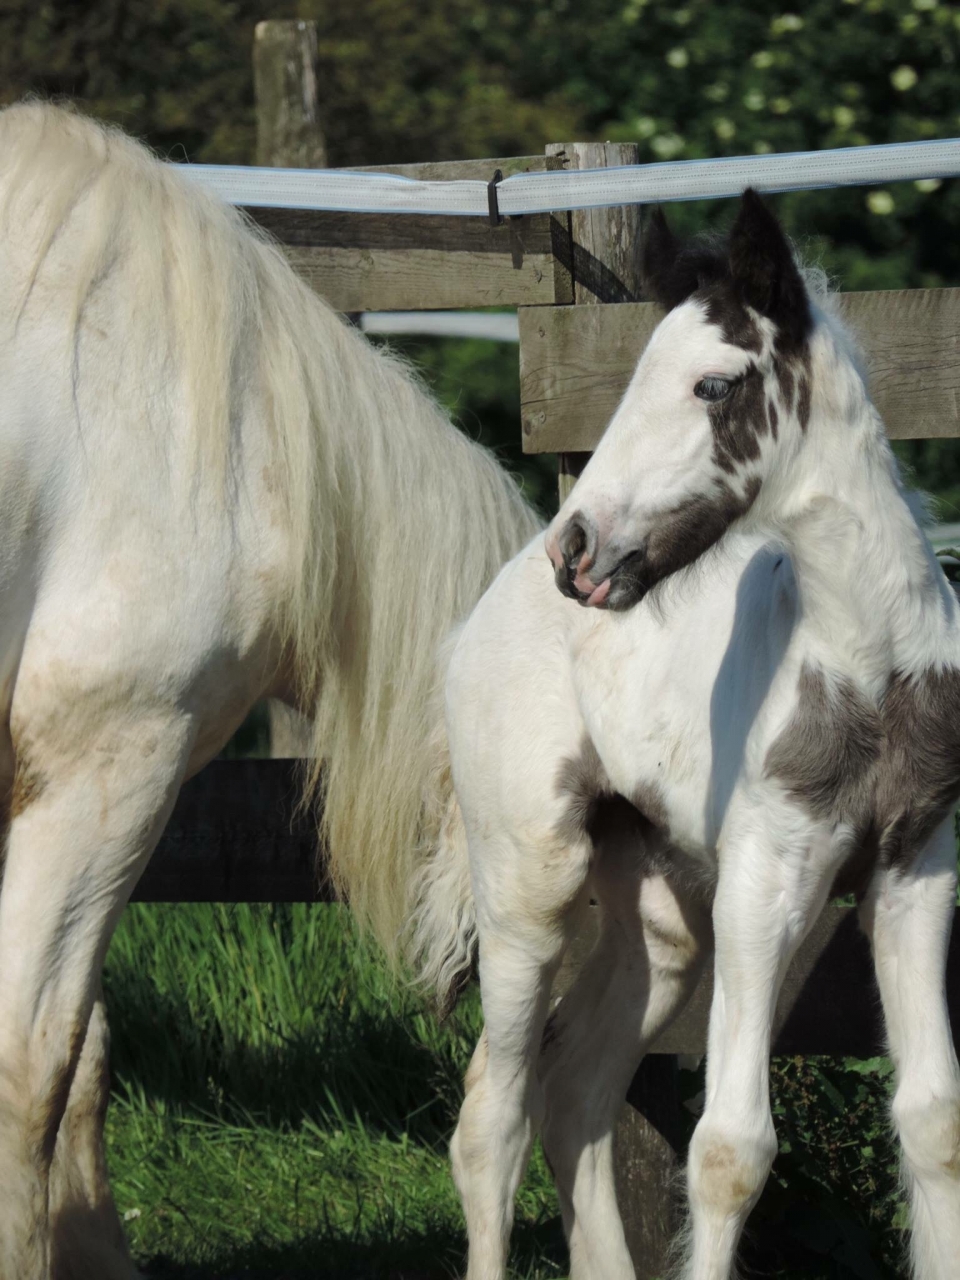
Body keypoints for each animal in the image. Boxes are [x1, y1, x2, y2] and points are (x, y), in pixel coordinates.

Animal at [419, 191, 960, 1278]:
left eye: (712, 384)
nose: (579, 551)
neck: (868, 669)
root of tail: (486, 604)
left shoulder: (916, 871)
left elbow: (933, 1122)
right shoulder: (766, 873)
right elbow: (729, 1148)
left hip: (664, 922)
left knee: (573, 1093)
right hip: (529, 887)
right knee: (490, 1120)